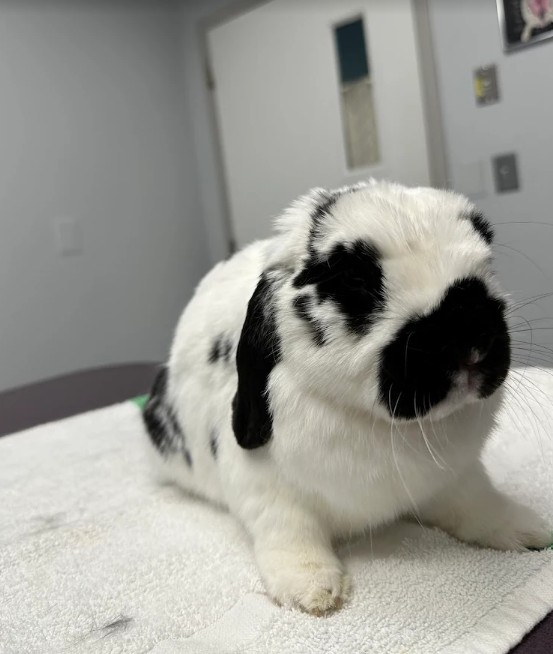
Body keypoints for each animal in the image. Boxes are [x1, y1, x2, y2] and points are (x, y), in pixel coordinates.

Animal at [142, 180, 551, 614]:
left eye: (485, 255)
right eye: (354, 279)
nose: (470, 335)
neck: (380, 423)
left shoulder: (457, 476)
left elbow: (477, 503)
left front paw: (529, 531)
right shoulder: (265, 490)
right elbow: (289, 531)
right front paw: (312, 590)